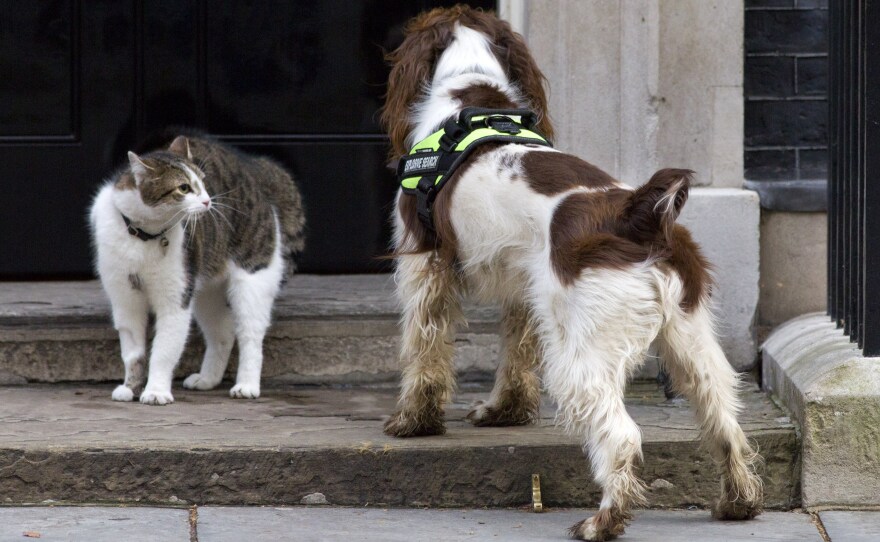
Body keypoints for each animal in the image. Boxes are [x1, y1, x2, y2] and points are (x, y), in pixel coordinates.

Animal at [90, 133, 306, 404]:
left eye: (203, 183)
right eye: (183, 188)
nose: (207, 201)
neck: (143, 235)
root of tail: (254, 167)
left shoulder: (175, 300)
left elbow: (163, 351)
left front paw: (156, 391)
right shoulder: (125, 299)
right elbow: (132, 353)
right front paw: (130, 388)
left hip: (252, 282)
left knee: (250, 337)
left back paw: (246, 385)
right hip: (207, 293)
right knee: (222, 335)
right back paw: (207, 379)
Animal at [382, 4, 760, 540]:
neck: (472, 92)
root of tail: (638, 216)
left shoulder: (425, 267)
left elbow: (424, 351)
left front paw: (414, 422)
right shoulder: (525, 288)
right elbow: (515, 356)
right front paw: (504, 413)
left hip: (584, 355)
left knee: (622, 437)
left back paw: (603, 521)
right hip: (690, 340)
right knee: (724, 419)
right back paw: (738, 501)